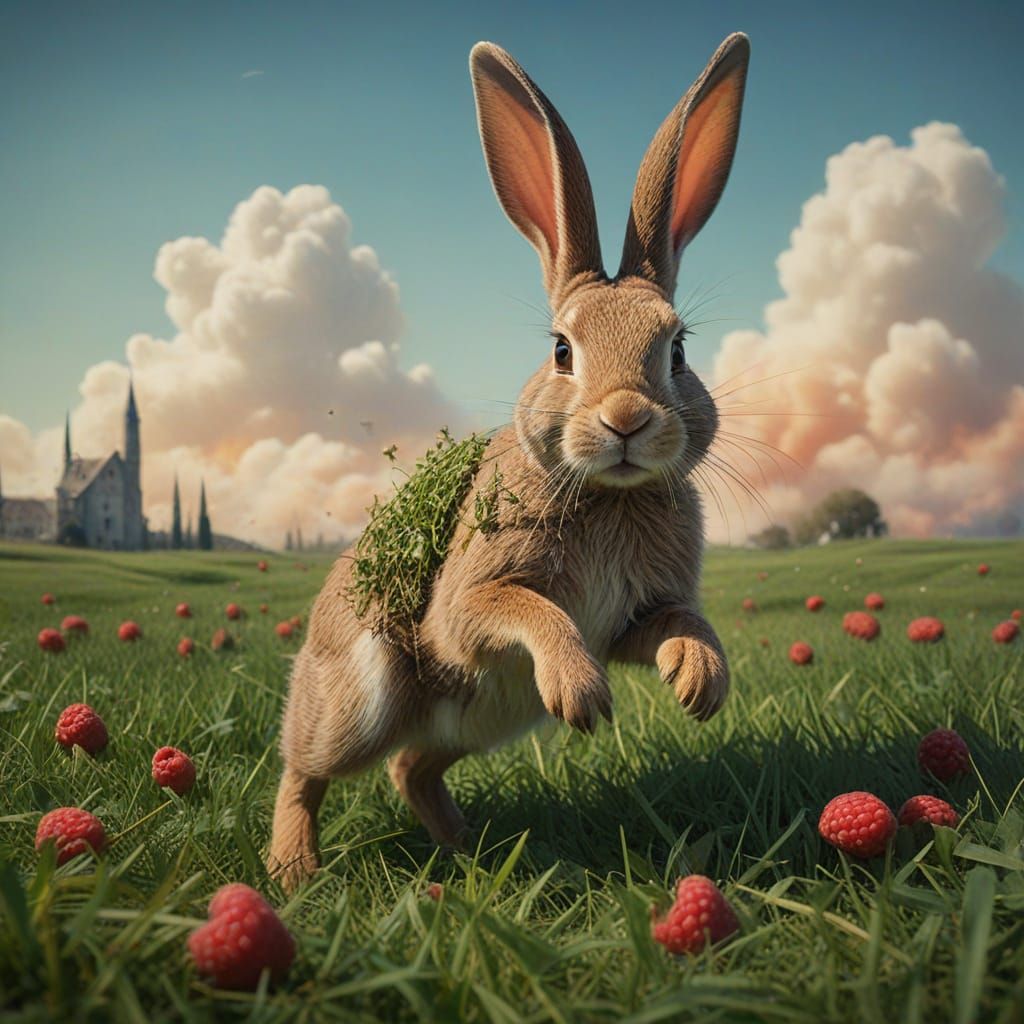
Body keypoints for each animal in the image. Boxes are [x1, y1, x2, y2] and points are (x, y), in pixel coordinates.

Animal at [267, 32, 750, 891]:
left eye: (678, 350)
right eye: (561, 350)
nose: (626, 419)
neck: (606, 492)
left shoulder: (633, 615)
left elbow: (677, 622)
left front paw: (700, 681)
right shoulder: (471, 598)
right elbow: (514, 610)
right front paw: (583, 695)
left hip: (477, 727)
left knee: (411, 769)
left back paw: (470, 851)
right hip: (361, 704)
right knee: (306, 766)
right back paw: (293, 869)